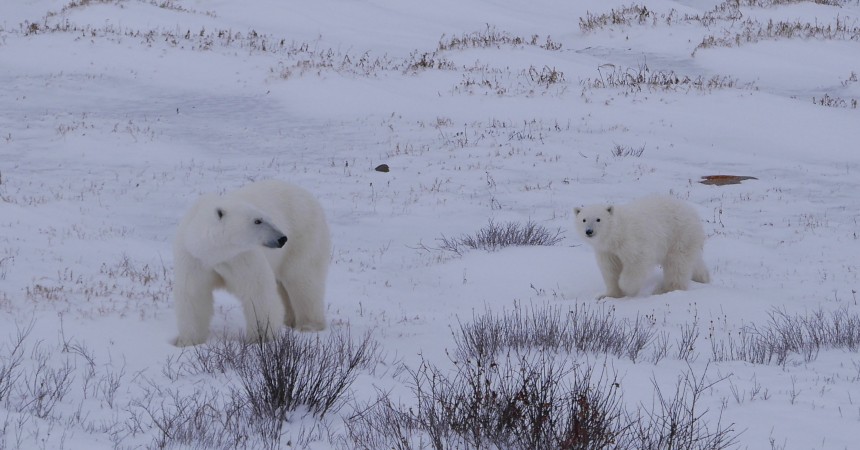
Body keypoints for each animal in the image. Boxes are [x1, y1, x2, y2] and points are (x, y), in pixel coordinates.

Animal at [171, 179, 330, 344]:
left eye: (268, 217)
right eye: (257, 221)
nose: (282, 238)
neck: (213, 254)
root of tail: (308, 195)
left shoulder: (241, 257)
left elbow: (257, 290)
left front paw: (260, 338)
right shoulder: (193, 259)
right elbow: (193, 295)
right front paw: (187, 341)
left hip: (304, 236)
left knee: (302, 279)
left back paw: (309, 325)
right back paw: (289, 321)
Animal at [576, 194, 708, 298]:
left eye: (598, 219)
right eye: (584, 219)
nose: (589, 231)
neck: (617, 234)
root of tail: (692, 212)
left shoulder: (632, 242)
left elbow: (636, 263)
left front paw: (626, 287)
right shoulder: (607, 251)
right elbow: (610, 269)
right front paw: (608, 295)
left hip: (679, 235)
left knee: (677, 265)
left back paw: (665, 289)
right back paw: (702, 277)